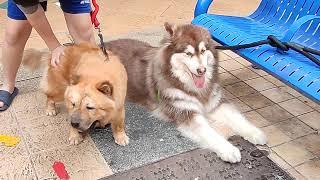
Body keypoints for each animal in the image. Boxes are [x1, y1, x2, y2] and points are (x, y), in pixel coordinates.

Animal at [105, 22, 268, 163]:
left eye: (203, 51)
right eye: (188, 53)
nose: (202, 71)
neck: (195, 89)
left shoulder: (215, 103)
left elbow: (237, 118)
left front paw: (254, 132)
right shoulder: (187, 113)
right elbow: (210, 132)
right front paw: (228, 149)